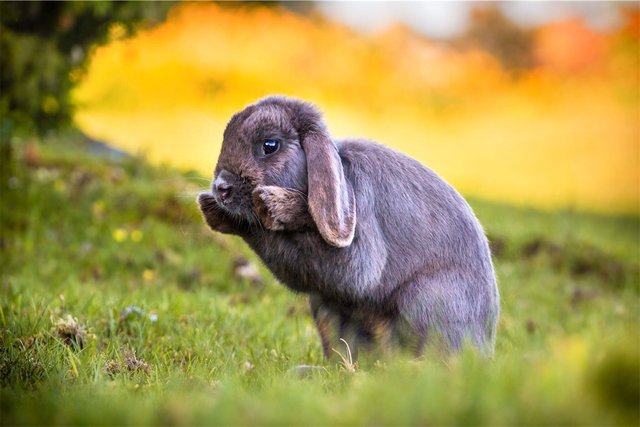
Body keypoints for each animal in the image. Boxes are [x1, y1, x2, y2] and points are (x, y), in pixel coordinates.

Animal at [199, 95, 500, 360]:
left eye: (270, 145)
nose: (221, 188)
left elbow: (355, 273)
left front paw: (271, 205)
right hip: (326, 308)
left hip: (425, 300)